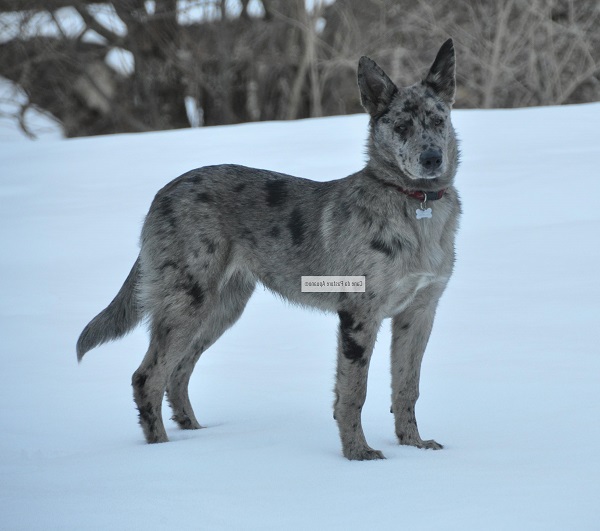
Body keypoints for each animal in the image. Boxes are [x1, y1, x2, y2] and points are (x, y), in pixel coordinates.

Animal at [77, 38, 462, 462]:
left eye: (438, 120)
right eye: (401, 126)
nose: (432, 159)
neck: (414, 206)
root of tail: (164, 192)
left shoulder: (418, 313)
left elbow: (407, 387)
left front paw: (415, 446)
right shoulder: (359, 315)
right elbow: (352, 393)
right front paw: (358, 454)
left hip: (221, 308)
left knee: (178, 373)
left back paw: (195, 435)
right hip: (186, 303)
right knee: (147, 378)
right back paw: (162, 452)